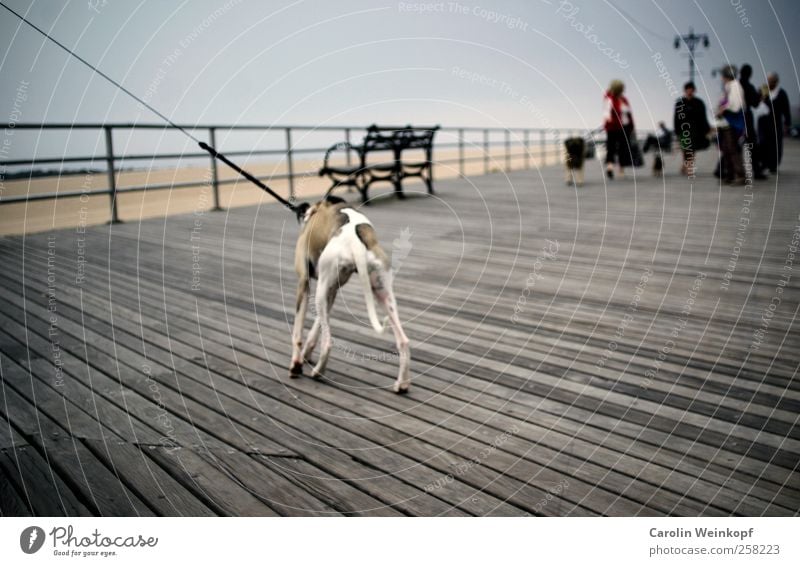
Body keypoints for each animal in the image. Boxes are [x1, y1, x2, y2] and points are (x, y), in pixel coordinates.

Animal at [290, 195, 412, 394]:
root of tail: (357, 243)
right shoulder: (332, 291)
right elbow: (317, 327)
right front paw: (306, 353)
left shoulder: (304, 283)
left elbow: (297, 333)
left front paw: (296, 365)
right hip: (381, 292)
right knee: (403, 341)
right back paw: (402, 384)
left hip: (320, 290)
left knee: (328, 343)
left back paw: (317, 372)